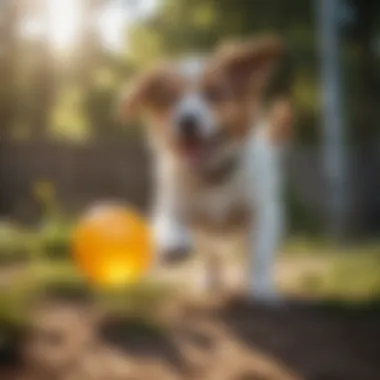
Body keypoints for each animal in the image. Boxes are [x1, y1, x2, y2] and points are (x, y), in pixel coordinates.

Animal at [120, 36, 292, 302]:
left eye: (214, 94)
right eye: (170, 99)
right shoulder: (173, 203)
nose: (186, 121)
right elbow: (169, 224)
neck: (212, 175)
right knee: (211, 258)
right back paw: (209, 281)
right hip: (207, 235)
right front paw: (173, 245)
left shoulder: (263, 212)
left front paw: (261, 289)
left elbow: (259, 255)